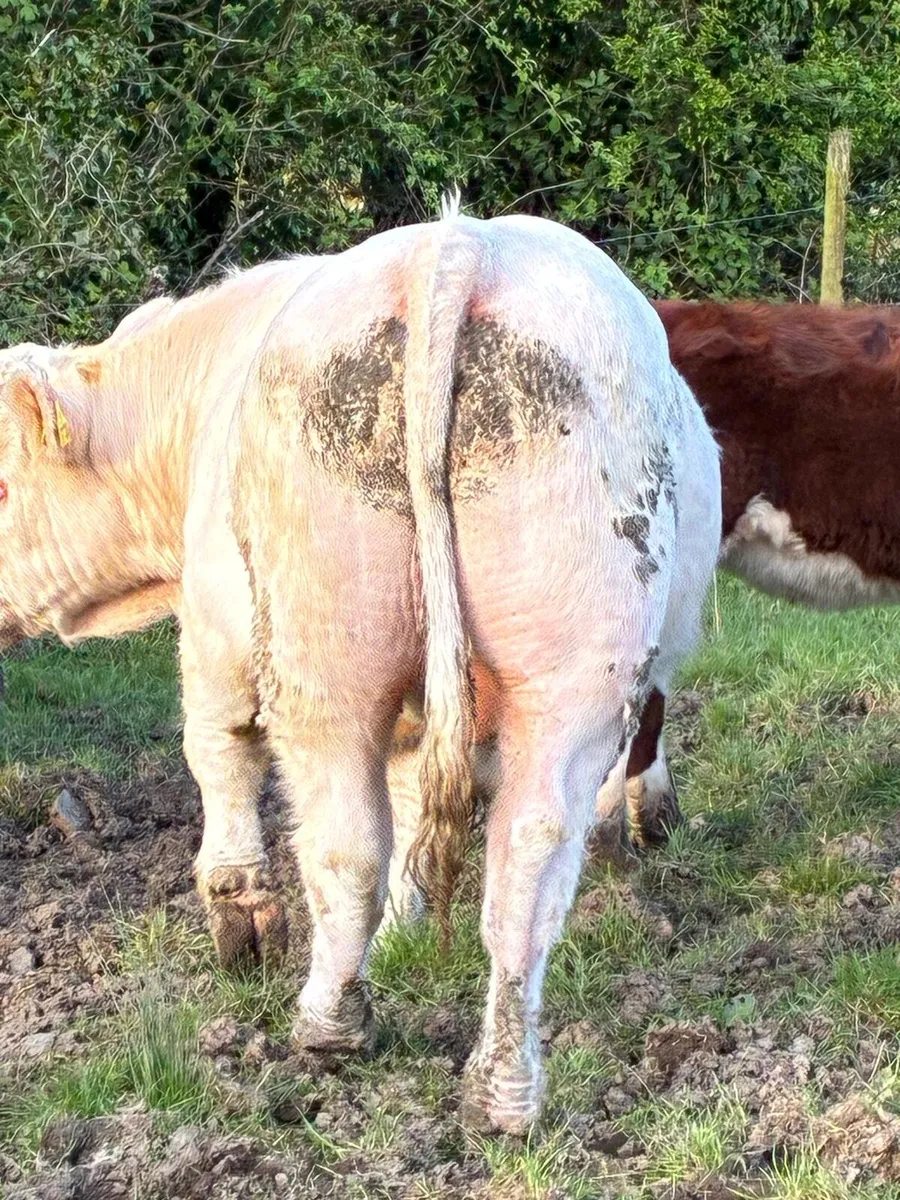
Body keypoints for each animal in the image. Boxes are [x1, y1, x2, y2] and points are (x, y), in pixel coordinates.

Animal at [0, 209, 720, 1133]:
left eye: (3, 487)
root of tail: (460, 246)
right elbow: (412, 798)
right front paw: (404, 930)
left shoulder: (214, 629)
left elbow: (221, 752)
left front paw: (241, 922)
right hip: (578, 662)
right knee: (530, 853)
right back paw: (504, 1091)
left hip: (320, 647)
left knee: (344, 838)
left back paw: (329, 1025)